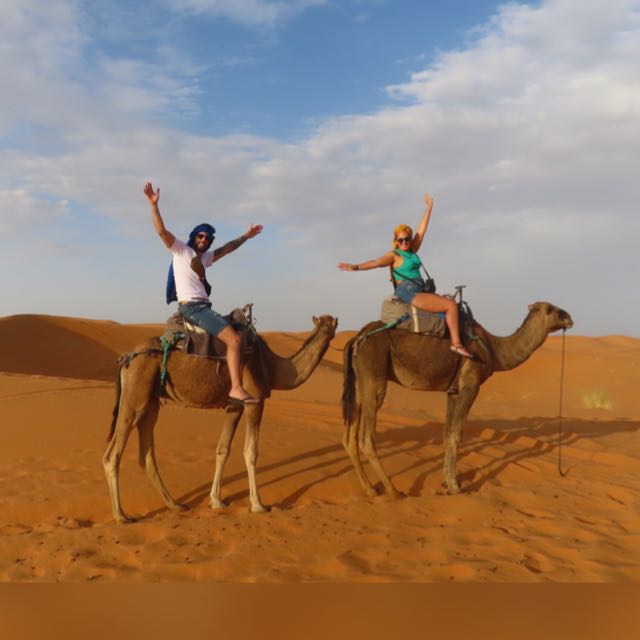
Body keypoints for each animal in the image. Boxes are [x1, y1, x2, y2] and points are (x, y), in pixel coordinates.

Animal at [102, 314, 338, 520]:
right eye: (334, 326)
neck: (272, 367)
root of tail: (127, 358)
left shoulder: (234, 406)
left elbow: (223, 449)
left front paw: (216, 500)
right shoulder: (254, 400)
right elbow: (251, 452)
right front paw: (258, 505)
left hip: (150, 402)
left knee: (146, 453)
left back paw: (175, 504)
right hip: (134, 395)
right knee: (113, 454)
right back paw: (120, 515)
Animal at [342, 302, 572, 498]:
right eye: (553, 309)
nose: (570, 318)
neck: (494, 349)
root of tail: (357, 338)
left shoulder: (453, 391)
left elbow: (447, 432)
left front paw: (447, 481)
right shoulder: (470, 385)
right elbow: (457, 434)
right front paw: (455, 486)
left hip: (359, 383)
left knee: (350, 436)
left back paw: (371, 489)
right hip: (374, 376)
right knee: (366, 438)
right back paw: (393, 490)